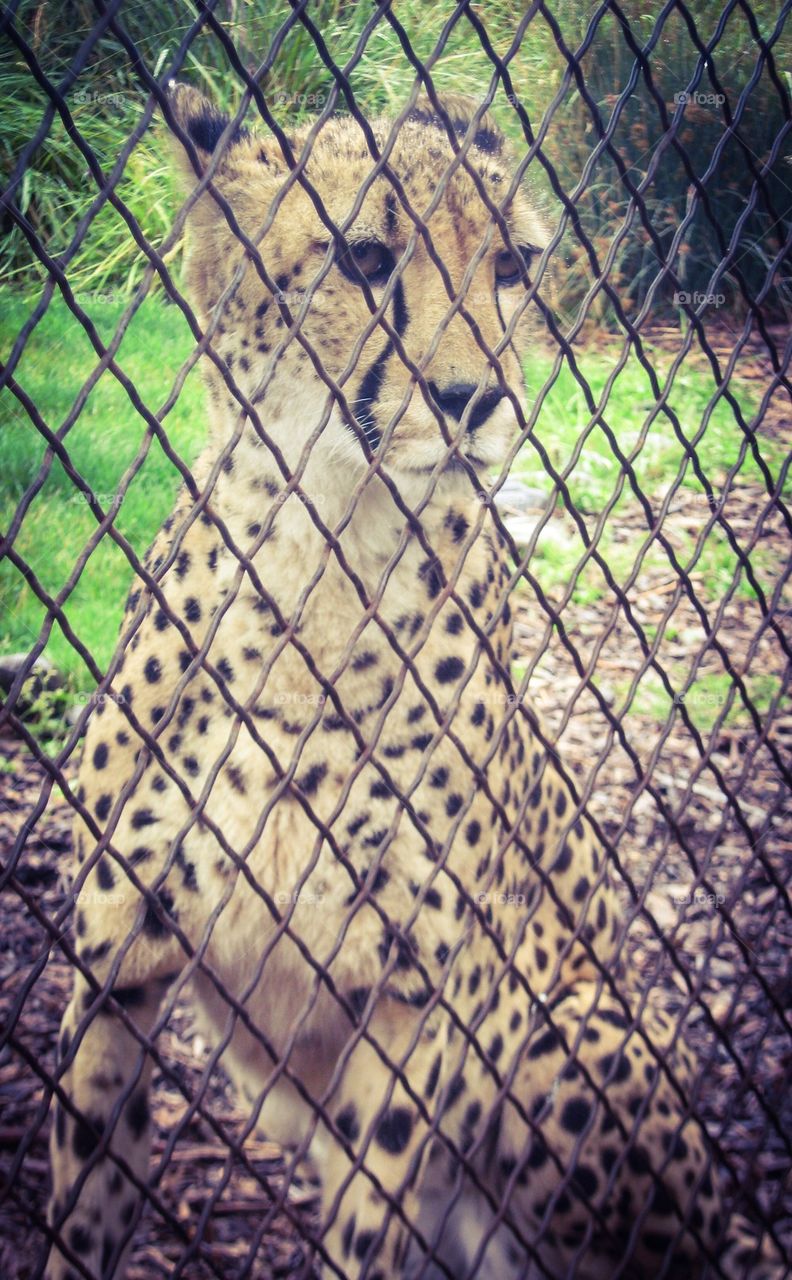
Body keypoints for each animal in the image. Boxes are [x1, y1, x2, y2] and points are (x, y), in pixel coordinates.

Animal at [44, 84, 781, 1280]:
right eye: (364, 256)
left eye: (513, 267)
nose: (474, 397)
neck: (321, 571)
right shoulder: (115, 965)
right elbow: (84, 1209)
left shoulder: (417, 1005)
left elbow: (363, 1223)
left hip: (566, 1043)